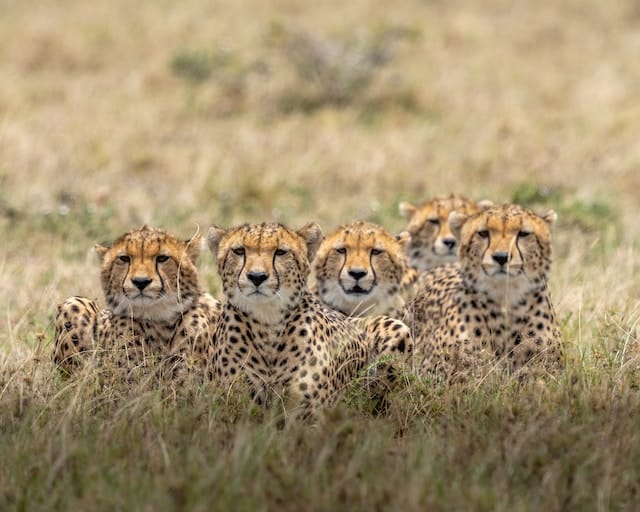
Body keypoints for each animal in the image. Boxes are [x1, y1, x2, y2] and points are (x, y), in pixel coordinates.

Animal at [208, 222, 412, 418]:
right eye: (238, 251)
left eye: (281, 252)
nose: (256, 277)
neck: (267, 323)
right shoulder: (232, 407)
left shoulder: (309, 413)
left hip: (397, 330)